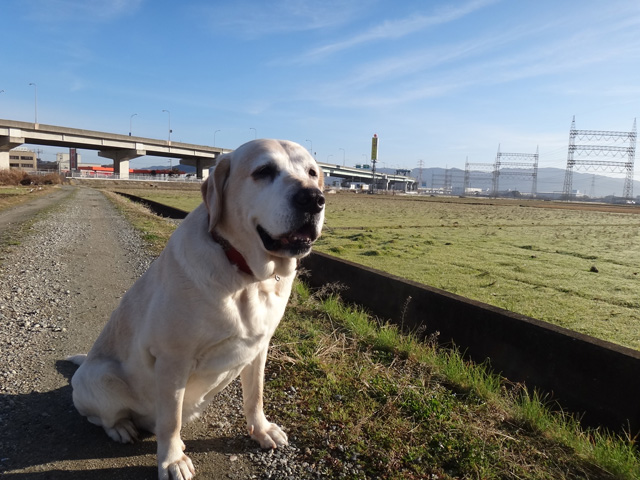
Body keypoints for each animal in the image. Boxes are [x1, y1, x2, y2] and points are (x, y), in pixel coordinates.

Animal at [70, 139, 324, 480]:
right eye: (264, 171)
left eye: (312, 173)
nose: (314, 198)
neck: (246, 276)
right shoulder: (172, 360)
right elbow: (170, 420)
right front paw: (172, 460)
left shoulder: (259, 347)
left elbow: (255, 395)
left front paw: (261, 430)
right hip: (98, 377)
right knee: (104, 417)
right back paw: (122, 428)